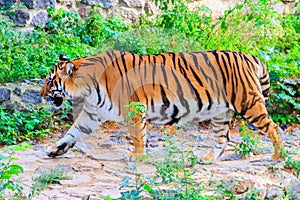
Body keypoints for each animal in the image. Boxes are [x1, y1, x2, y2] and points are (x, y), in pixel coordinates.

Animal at [40, 50, 286, 162]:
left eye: (49, 81)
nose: (41, 95)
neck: (87, 87)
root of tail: (251, 56)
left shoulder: (133, 109)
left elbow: (138, 135)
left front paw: (137, 156)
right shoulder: (91, 114)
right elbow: (73, 132)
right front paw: (55, 150)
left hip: (248, 102)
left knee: (273, 127)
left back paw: (278, 156)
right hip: (221, 113)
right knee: (222, 138)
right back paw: (208, 159)